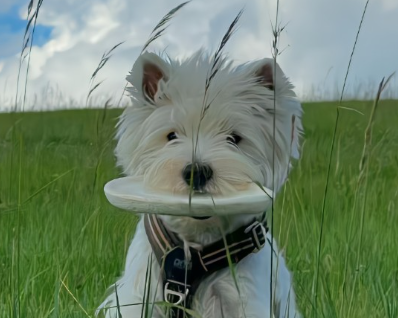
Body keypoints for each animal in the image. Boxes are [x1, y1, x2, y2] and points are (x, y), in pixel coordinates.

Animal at [98, 50, 304, 318]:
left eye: (234, 138)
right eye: (172, 136)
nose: (196, 172)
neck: (193, 254)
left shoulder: (243, 300)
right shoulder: (139, 297)